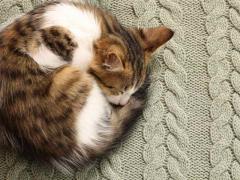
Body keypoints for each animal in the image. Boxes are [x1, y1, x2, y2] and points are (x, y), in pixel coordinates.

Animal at [0, 0, 173, 173]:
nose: (124, 103)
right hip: (74, 80)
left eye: (132, 90)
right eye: (116, 89)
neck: (98, 31)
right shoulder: (41, 46)